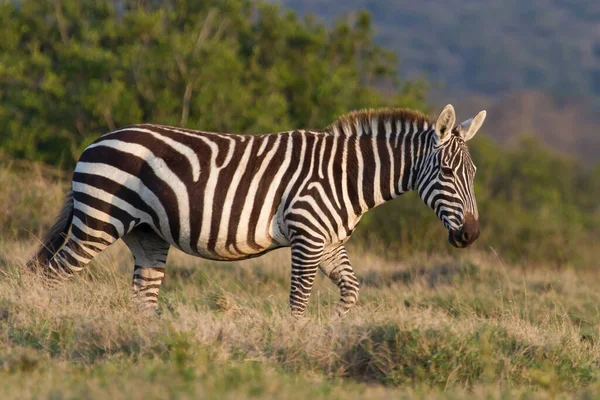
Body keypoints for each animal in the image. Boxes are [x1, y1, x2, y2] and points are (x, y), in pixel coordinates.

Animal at [29, 104, 488, 318]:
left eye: (474, 173)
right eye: (447, 172)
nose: (471, 235)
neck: (347, 177)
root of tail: (96, 141)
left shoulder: (330, 243)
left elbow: (352, 290)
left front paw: (333, 329)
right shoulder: (308, 235)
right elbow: (298, 301)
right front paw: (297, 347)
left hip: (147, 235)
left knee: (143, 295)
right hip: (99, 221)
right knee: (53, 275)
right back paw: (48, 326)